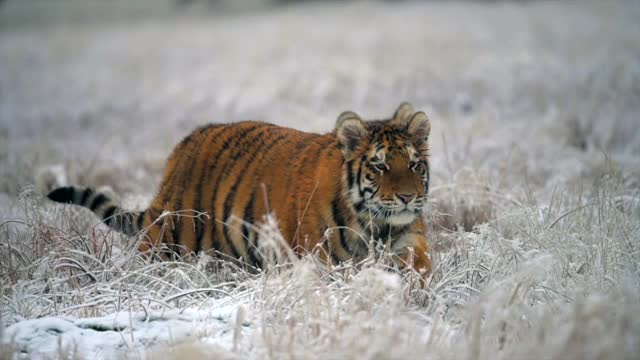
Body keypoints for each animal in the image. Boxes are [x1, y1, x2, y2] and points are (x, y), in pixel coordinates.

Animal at [47, 102, 432, 274]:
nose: (407, 197)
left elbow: (417, 272)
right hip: (169, 245)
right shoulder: (315, 259)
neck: (376, 226)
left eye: (414, 164)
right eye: (380, 166)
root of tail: (175, 159)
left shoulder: (409, 242)